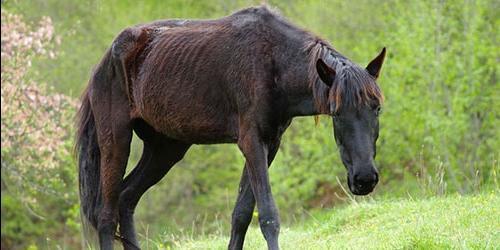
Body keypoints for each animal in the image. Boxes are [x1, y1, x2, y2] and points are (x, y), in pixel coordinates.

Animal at [75, 5, 386, 250]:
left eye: (377, 108)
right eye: (336, 112)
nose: (364, 179)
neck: (273, 60)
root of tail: (105, 60)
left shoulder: (268, 144)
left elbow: (242, 214)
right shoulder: (251, 142)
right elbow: (269, 216)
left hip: (166, 149)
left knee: (127, 199)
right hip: (117, 141)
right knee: (106, 215)